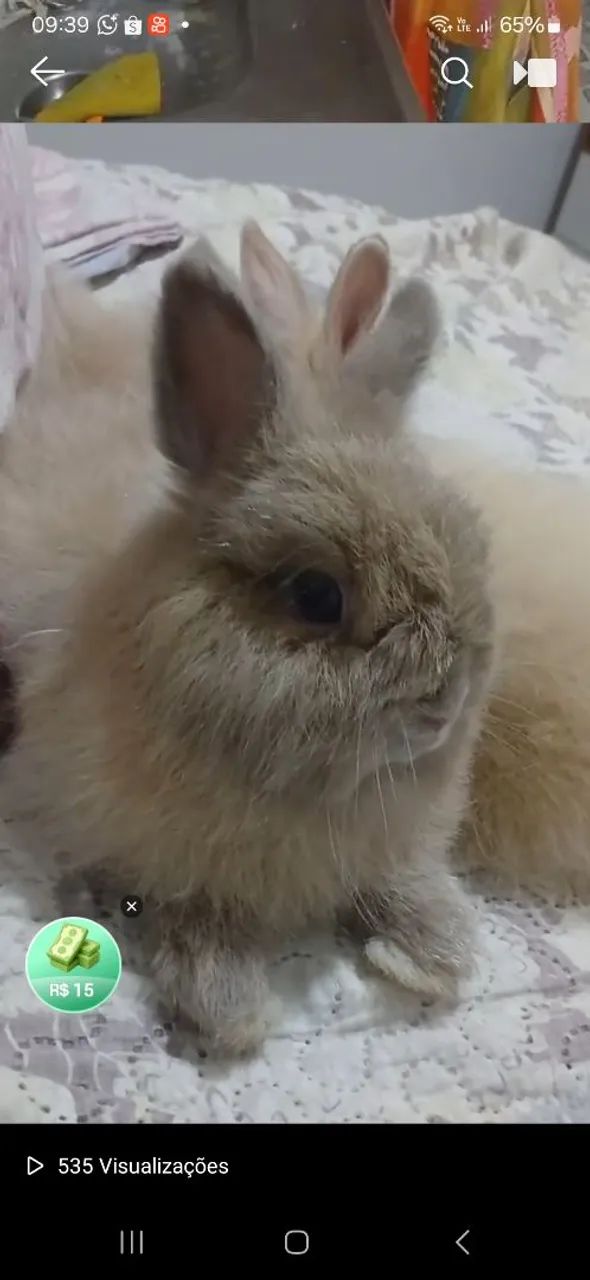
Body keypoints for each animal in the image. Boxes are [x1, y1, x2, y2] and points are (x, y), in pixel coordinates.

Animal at [0, 223, 496, 1052]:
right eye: (316, 597)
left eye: (470, 544)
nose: (445, 706)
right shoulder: (154, 857)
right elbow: (197, 916)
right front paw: (232, 1006)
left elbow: (400, 882)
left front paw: (439, 952)